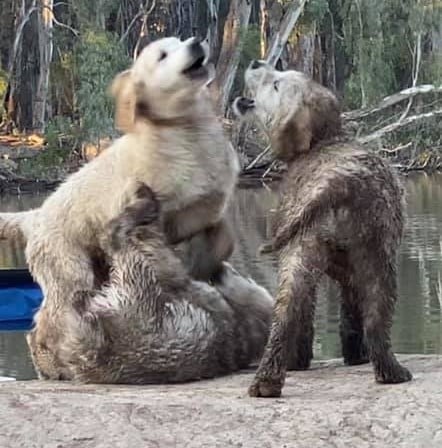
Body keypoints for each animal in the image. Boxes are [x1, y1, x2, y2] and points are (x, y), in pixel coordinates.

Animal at [233, 60, 412, 400]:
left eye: (276, 85)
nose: (255, 62)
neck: (323, 141)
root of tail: (340, 182)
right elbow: (350, 314)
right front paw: (355, 356)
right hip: (376, 255)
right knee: (374, 320)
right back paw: (389, 371)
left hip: (305, 251)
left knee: (289, 315)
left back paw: (271, 378)